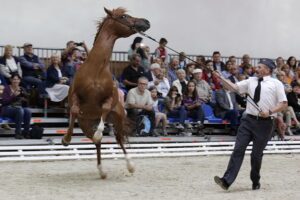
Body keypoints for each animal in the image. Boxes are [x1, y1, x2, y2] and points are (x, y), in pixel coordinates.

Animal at [61, 7, 150, 178]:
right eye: (124, 16)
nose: (146, 21)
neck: (96, 70)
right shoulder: (75, 97)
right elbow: (74, 110)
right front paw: (66, 139)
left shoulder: (108, 99)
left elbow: (105, 111)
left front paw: (99, 132)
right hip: (85, 124)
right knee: (97, 143)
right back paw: (101, 170)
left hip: (118, 119)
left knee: (118, 139)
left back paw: (129, 166)